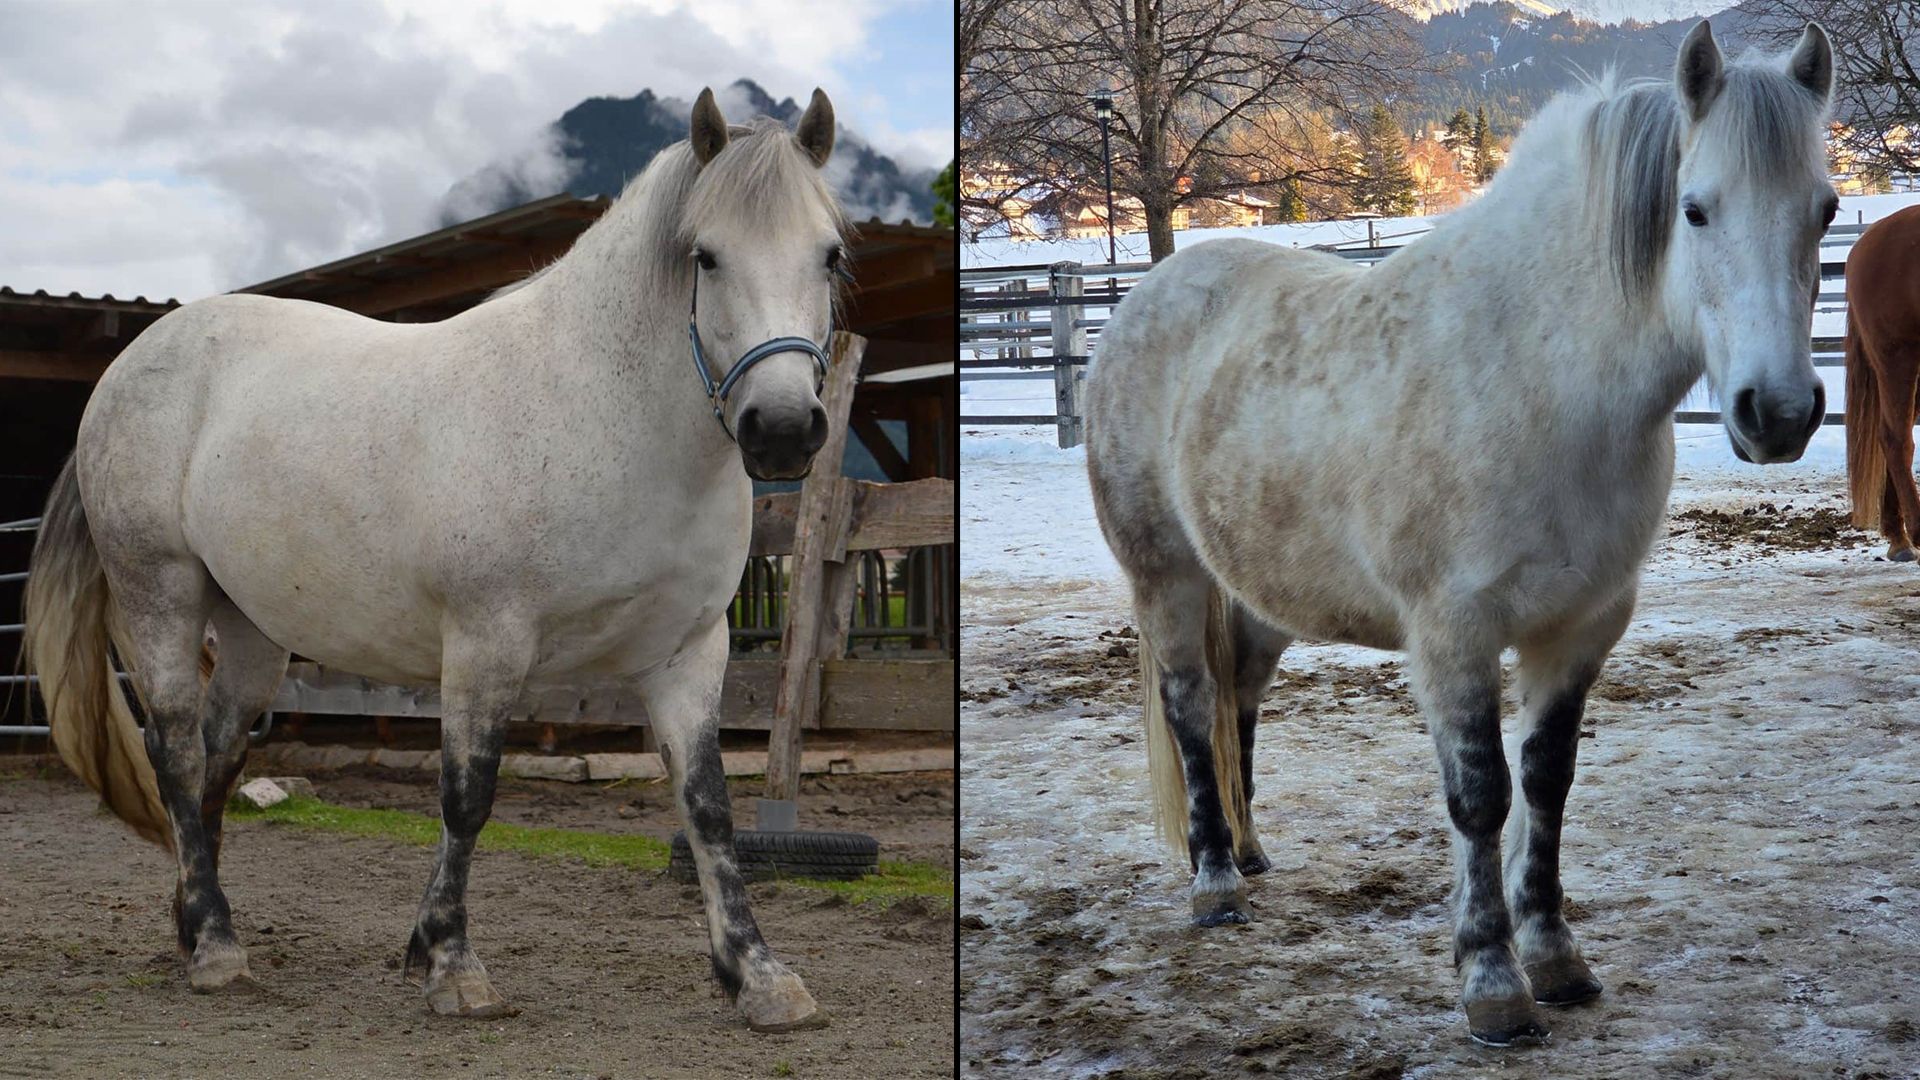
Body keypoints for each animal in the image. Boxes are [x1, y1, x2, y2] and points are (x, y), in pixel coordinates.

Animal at [22, 87, 846, 1033]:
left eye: (830, 255)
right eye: (705, 257)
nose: (781, 429)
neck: (598, 413)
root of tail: (129, 364)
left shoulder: (688, 654)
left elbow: (708, 808)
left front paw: (758, 974)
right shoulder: (487, 642)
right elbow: (467, 794)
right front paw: (453, 964)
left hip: (254, 632)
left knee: (220, 754)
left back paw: (195, 927)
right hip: (160, 593)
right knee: (179, 755)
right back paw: (218, 948)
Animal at [1084, 23, 1836, 1046]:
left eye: (1825, 211)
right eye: (1696, 210)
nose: (1781, 414)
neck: (1538, 375)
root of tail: (1143, 298)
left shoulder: (1581, 629)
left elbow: (1548, 783)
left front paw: (1557, 959)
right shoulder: (1454, 635)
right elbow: (1482, 798)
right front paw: (1493, 986)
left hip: (1259, 593)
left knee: (1240, 696)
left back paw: (1249, 852)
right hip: (1166, 577)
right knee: (1193, 708)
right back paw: (1214, 884)